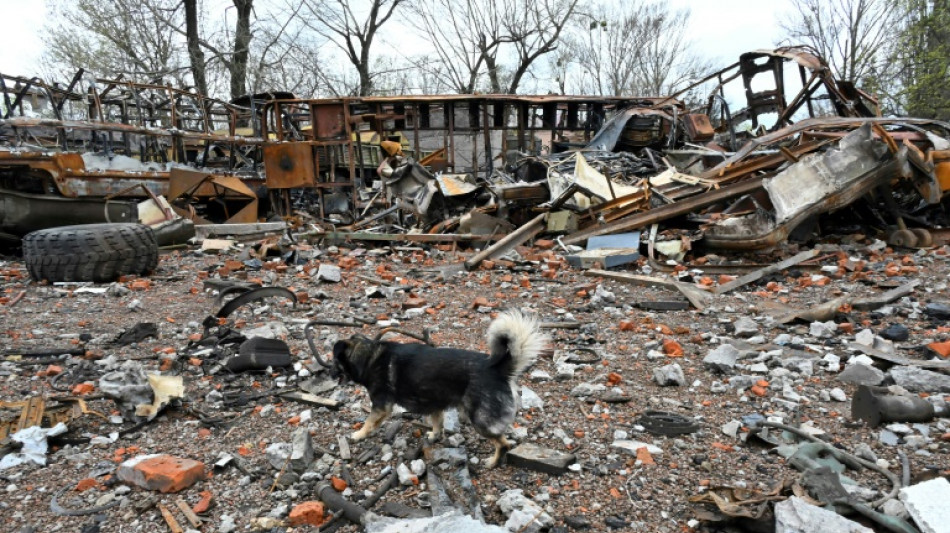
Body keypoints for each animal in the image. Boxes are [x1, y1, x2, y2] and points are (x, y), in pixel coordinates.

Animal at [332, 308, 548, 466]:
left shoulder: (381, 406)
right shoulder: (434, 402)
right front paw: (434, 435)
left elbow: (369, 422)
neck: (368, 357)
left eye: (334, 361)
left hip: (480, 420)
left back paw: (492, 462)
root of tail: (497, 370)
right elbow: (437, 422)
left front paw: (359, 434)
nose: (330, 373)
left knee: (503, 443)